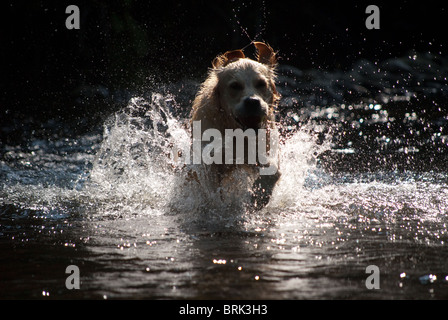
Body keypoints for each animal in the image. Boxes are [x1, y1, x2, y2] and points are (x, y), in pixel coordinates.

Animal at [191, 42, 282, 208]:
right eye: (234, 86)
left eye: (261, 84)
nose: (252, 102)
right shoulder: (208, 158)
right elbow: (210, 185)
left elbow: (272, 170)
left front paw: (260, 195)